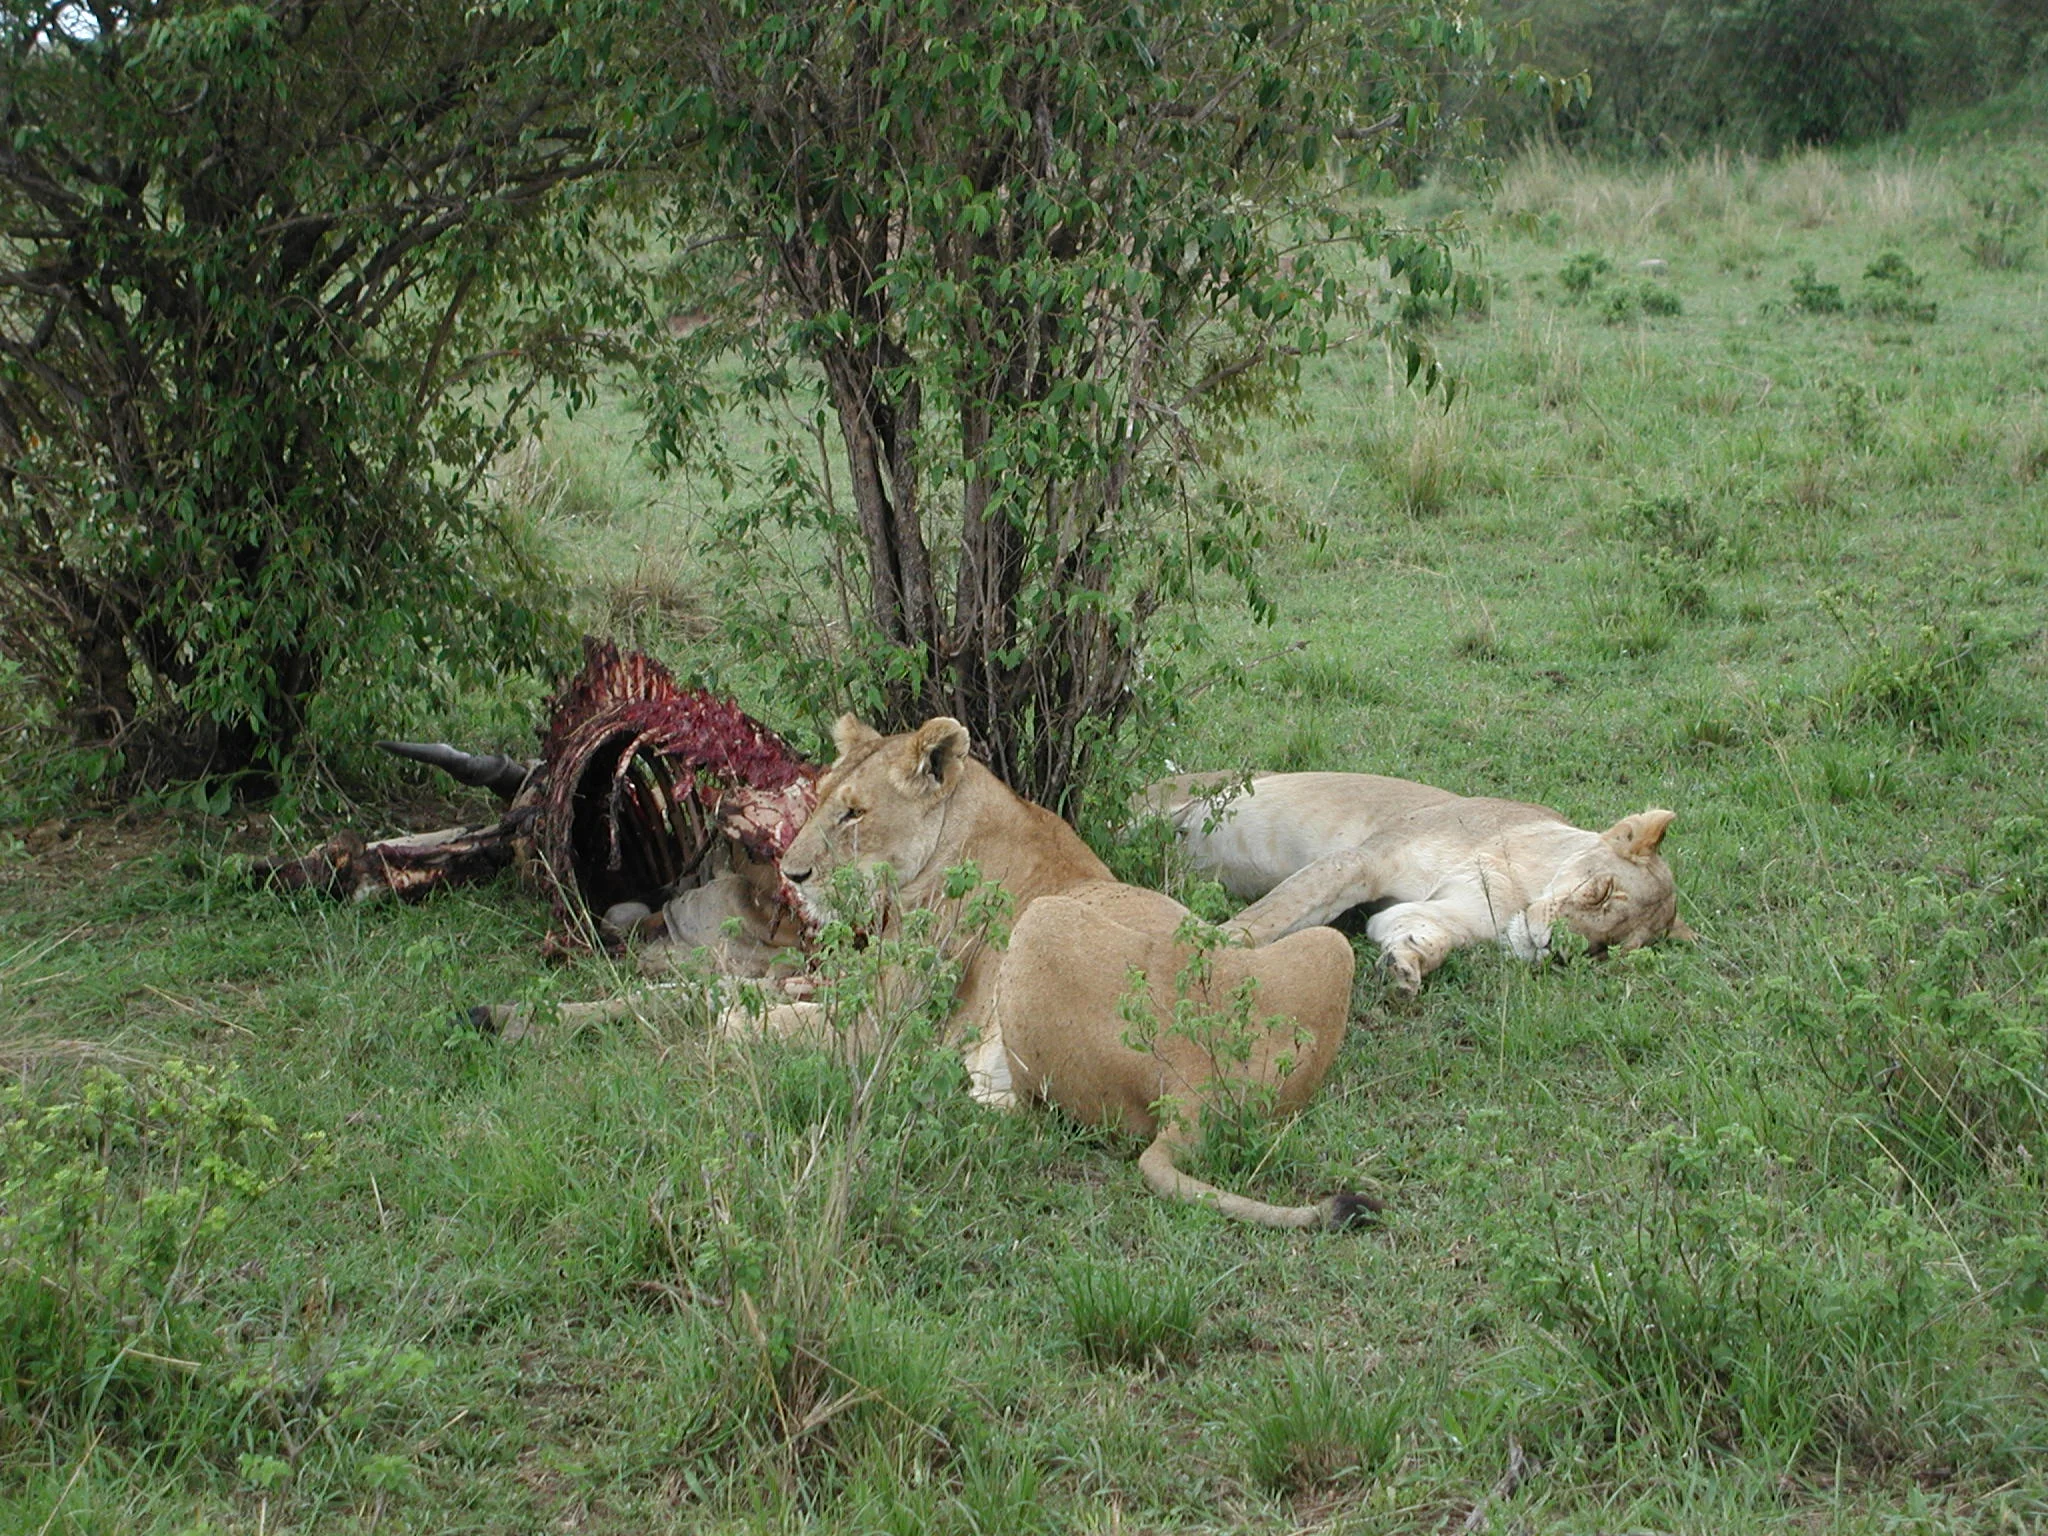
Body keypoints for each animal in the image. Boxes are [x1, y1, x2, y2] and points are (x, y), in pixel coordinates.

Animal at [763, 716, 1375, 1231]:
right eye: (819, 799)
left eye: (854, 814)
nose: (790, 874)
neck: (966, 815)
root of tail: (1199, 1087)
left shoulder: (875, 1026)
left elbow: (756, 1025)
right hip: (1330, 947)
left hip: (1040, 922)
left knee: (1019, 1111)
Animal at [1143, 771, 1693, 995]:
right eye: (1602, 891)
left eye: (1607, 950)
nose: (1558, 950)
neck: (1519, 894)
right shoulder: (1364, 859)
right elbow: (1272, 914)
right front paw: (1205, 946)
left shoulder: (1424, 911)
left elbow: (1425, 936)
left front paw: (1405, 967)